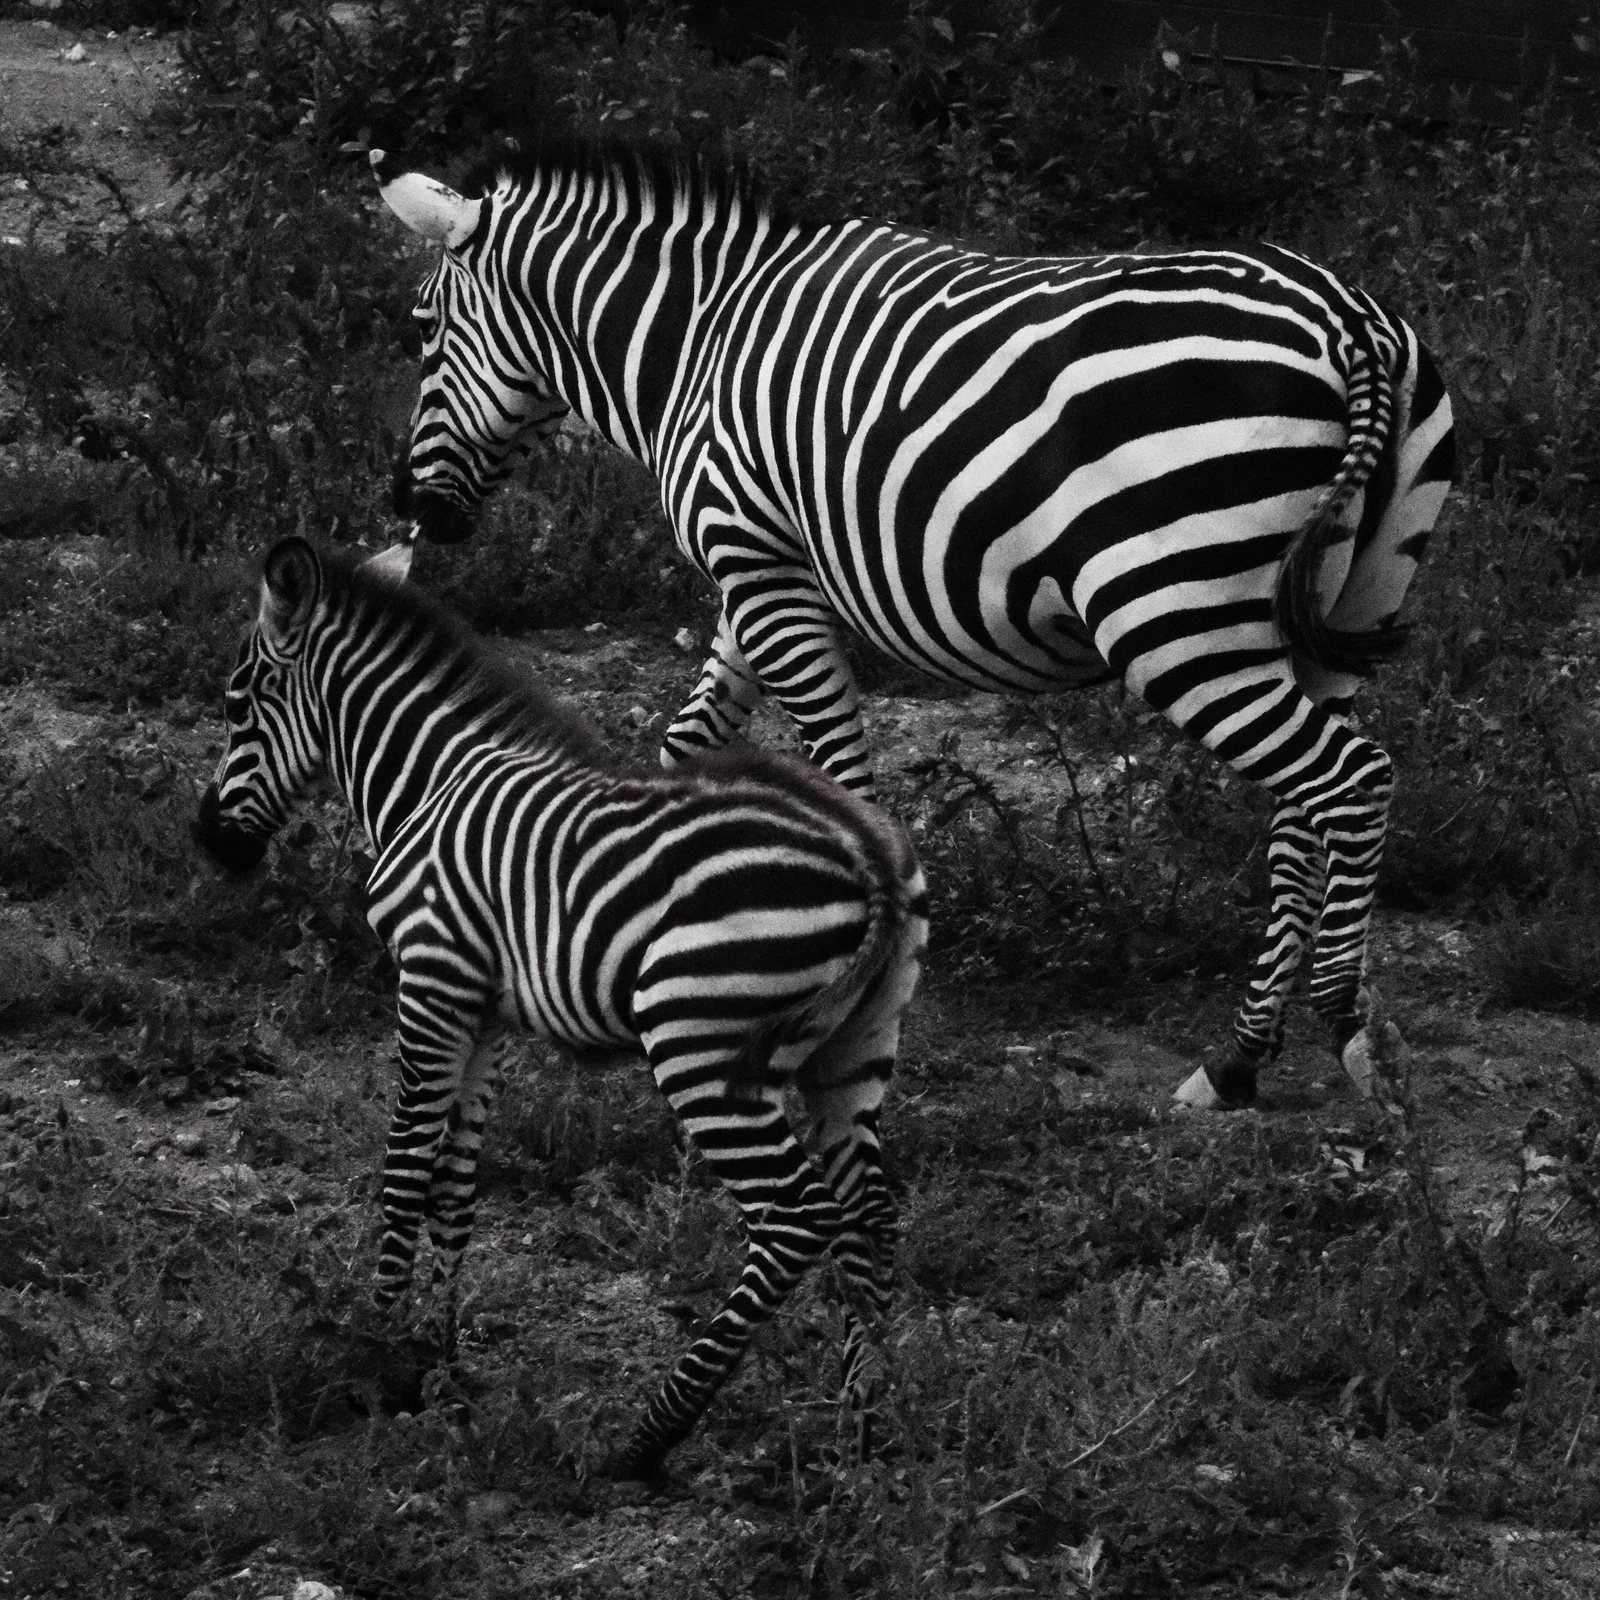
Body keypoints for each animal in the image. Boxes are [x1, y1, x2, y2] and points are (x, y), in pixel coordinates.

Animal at [194, 537, 928, 1477]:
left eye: (235, 704)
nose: (209, 843)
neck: (428, 781)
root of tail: (869, 857)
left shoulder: (431, 978)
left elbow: (404, 1171)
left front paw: (372, 1353)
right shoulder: (483, 1013)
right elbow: (455, 1182)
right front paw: (435, 1361)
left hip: (696, 1042)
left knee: (797, 1217)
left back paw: (651, 1434)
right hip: (856, 1049)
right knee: (872, 1217)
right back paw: (863, 1437)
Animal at [371, 138, 1456, 1111]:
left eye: (422, 330)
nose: (410, 507)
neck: (697, 345)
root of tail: (1351, 322)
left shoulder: (759, 566)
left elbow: (841, 778)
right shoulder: (753, 567)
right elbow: (689, 744)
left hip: (1173, 615)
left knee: (1350, 780)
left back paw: (1341, 1028)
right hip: (1345, 600)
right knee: (1303, 812)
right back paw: (1239, 1058)